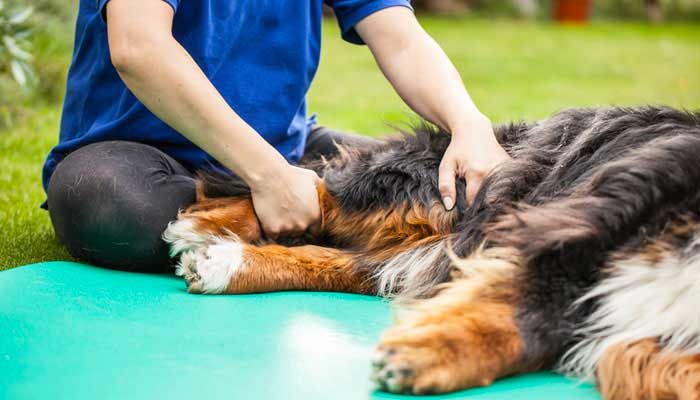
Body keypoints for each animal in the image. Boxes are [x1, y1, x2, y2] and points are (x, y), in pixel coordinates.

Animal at [161, 107, 700, 400]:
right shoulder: (579, 227)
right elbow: (530, 313)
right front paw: (426, 353)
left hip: (438, 243)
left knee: (352, 263)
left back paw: (224, 263)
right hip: (445, 190)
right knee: (317, 189)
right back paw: (204, 225)